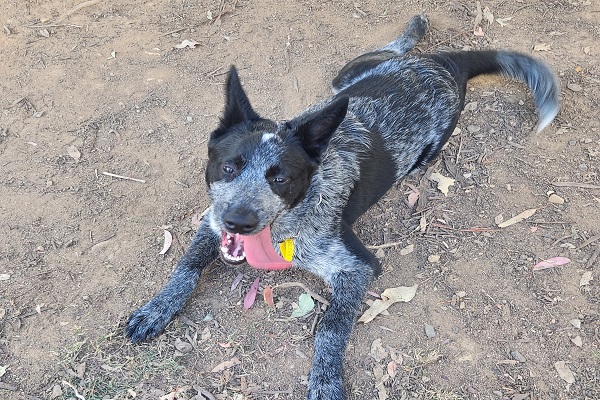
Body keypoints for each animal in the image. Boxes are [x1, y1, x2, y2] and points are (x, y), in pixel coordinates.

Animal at [124, 14, 560, 398]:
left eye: (280, 179)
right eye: (229, 166)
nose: (239, 221)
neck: (288, 224)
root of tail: (442, 64)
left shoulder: (357, 267)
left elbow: (330, 329)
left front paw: (325, 381)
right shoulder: (211, 221)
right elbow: (188, 266)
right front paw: (157, 308)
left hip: (427, 149)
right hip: (346, 76)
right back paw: (414, 28)